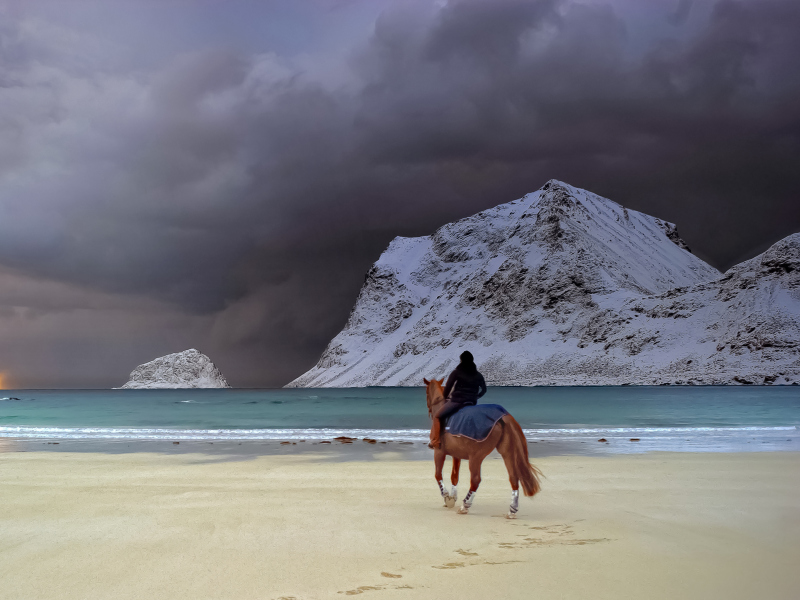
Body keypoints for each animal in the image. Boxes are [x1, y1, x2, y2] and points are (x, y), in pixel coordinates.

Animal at [422, 378, 540, 516]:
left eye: (426, 392)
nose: (429, 410)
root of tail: (502, 416)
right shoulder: (457, 455)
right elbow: (454, 477)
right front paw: (453, 497)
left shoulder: (439, 452)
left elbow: (438, 475)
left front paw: (447, 497)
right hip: (507, 452)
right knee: (513, 477)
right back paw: (512, 509)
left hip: (476, 457)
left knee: (475, 480)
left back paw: (465, 506)